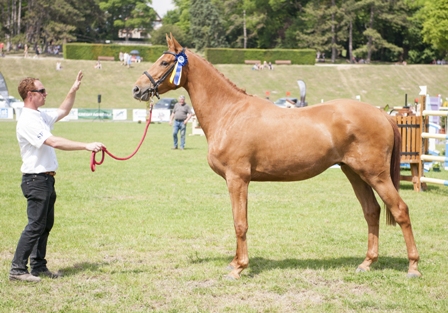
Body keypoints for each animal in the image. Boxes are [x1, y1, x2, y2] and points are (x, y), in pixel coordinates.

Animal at [132, 33, 420, 278]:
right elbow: (237, 221)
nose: (137, 89)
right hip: (355, 173)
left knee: (401, 210)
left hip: (376, 175)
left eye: (165, 61)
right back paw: (367, 263)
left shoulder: (237, 179)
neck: (229, 112)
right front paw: (235, 263)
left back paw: (413, 267)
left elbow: (240, 223)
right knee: (372, 211)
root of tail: (382, 113)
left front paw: (239, 267)